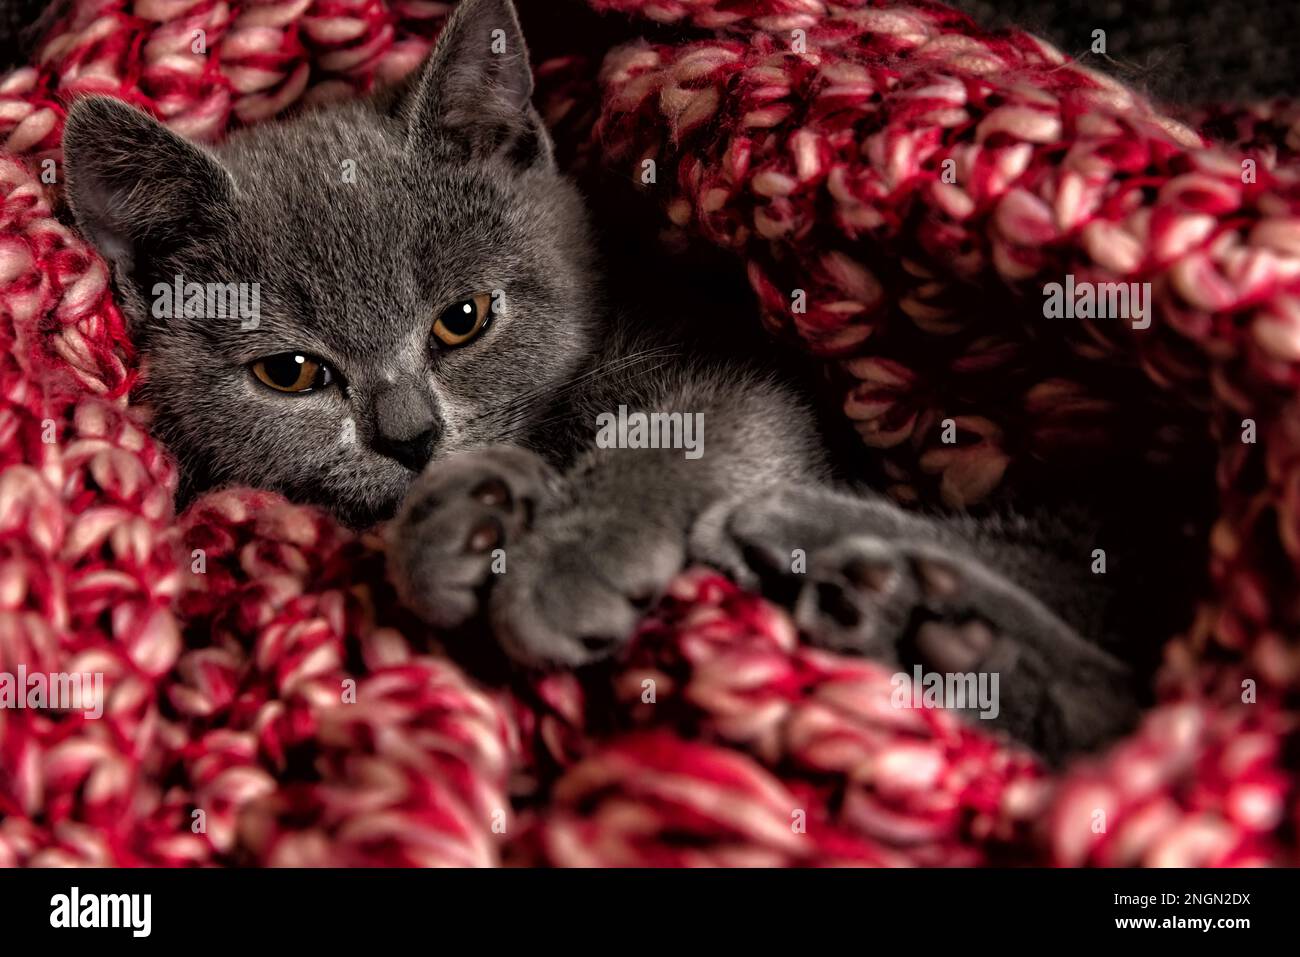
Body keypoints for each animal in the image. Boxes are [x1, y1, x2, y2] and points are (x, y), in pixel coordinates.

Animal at [63, 0, 1138, 764]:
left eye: (463, 318)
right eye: (290, 373)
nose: (410, 437)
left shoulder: (758, 376)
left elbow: (701, 428)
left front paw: (566, 555)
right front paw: (463, 524)